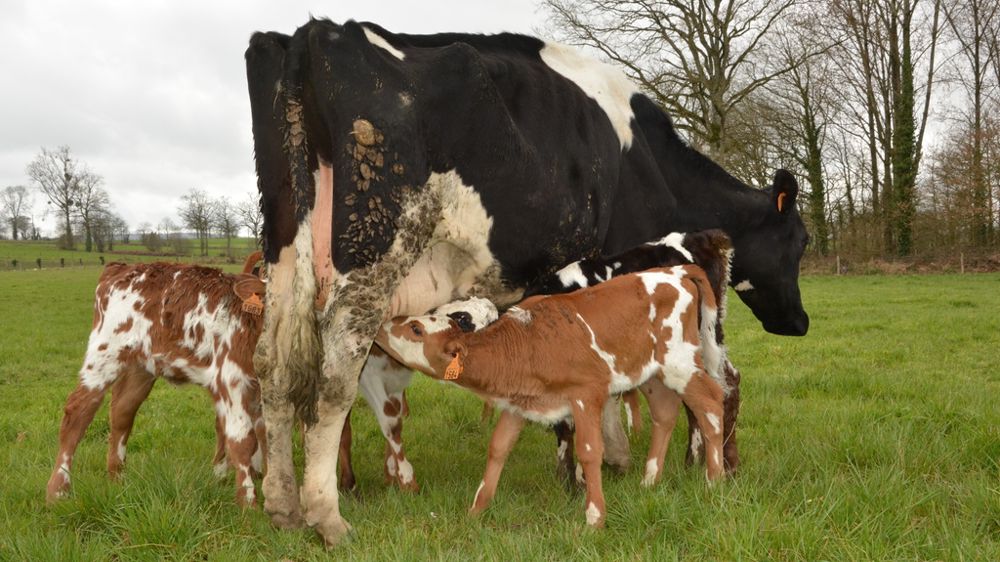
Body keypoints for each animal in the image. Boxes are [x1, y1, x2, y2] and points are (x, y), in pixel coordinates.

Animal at [46, 255, 268, 506]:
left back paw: (117, 481)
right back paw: (58, 491)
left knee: (122, 412)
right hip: (105, 354)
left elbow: (266, 437)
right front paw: (248, 503)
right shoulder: (231, 379)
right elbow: (243, 439)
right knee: (78, 412)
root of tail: (120, 267)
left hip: (140, 369)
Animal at [376, 265, 726, 527]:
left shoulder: (587, 394)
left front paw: (594, 518)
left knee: (711, 402)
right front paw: (476, 511)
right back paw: (649, 482)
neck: (529, 342)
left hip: (680, 362)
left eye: (417, 329)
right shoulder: (519, 404)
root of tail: (676, 270)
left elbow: (589, 451)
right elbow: (498, 448)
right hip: (652, 373)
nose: (384, 324)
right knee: (665, 413)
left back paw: (714, 481)